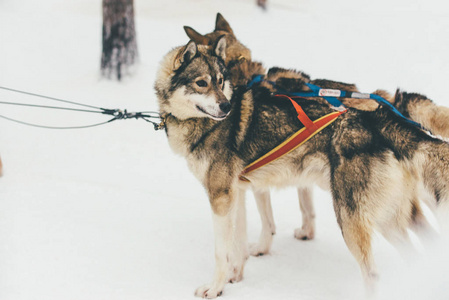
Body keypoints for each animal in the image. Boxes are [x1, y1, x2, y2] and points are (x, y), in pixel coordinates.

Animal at [155, 39, 448, 298]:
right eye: (201, 83)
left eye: (220, 81)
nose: (227, 106)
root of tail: (381, 121)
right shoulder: (235, 194)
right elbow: (237, 245)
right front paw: (234, 276)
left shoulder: (220, 197)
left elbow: (221, 251)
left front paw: (215, 288)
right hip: (387, 219)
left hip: (351, 219)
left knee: (373, 274)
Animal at [183, 12, 444, 254]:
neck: (244, 72)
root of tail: (387, 105)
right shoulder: (301, 170)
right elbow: (306, 206)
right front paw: (307, 232)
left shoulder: (258, 180)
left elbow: (268, 222)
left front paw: (261, 247)